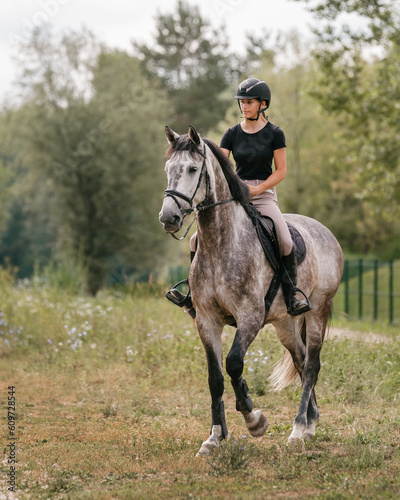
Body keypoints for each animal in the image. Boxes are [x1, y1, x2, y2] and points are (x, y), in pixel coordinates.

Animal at [159, 124, 344, 454]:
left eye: (192, 169)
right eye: (168, 168)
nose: (169, 218)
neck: (221, 242)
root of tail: (325, 231)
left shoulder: (251, 316)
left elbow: (233, 364)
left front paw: (254, 419)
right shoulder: (206, 320)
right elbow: (215, 378)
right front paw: (215, 437)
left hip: (319, 310)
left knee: (311, 365)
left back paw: (298, 429)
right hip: (285, 322)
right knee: (300, 360)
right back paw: (310, 423)